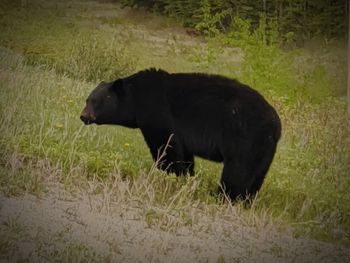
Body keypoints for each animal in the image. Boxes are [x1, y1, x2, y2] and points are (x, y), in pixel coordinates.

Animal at [80, 69, 282, 201]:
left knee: (238, 171)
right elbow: (184, 153)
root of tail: (276, 125)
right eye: (87, 99)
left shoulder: (157, 112)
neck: (136, 97)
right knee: (256, 175)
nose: (83, 116)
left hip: (245, 138)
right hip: (264, 149)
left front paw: (170, 172)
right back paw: (246, 200)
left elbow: (165, 145)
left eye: (95, 101)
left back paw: (223, 196)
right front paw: (186, 176)